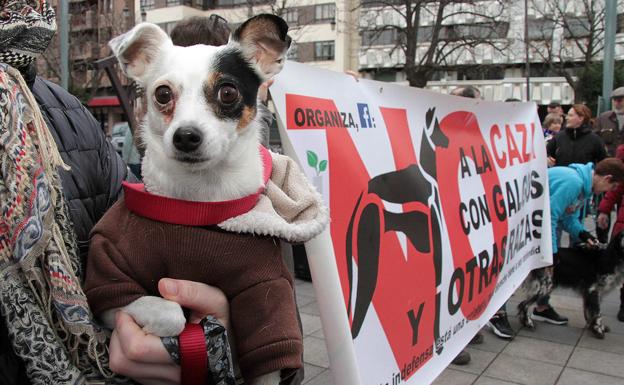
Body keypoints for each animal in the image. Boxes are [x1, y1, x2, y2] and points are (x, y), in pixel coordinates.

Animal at [85, 13, 314, 382]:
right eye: (162, 93)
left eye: (228, 91)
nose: (186, 136)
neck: (198, 205)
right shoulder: (110, 283)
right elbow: (170, 313)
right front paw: (169, 331)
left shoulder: (264, 287)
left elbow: (269, 358)